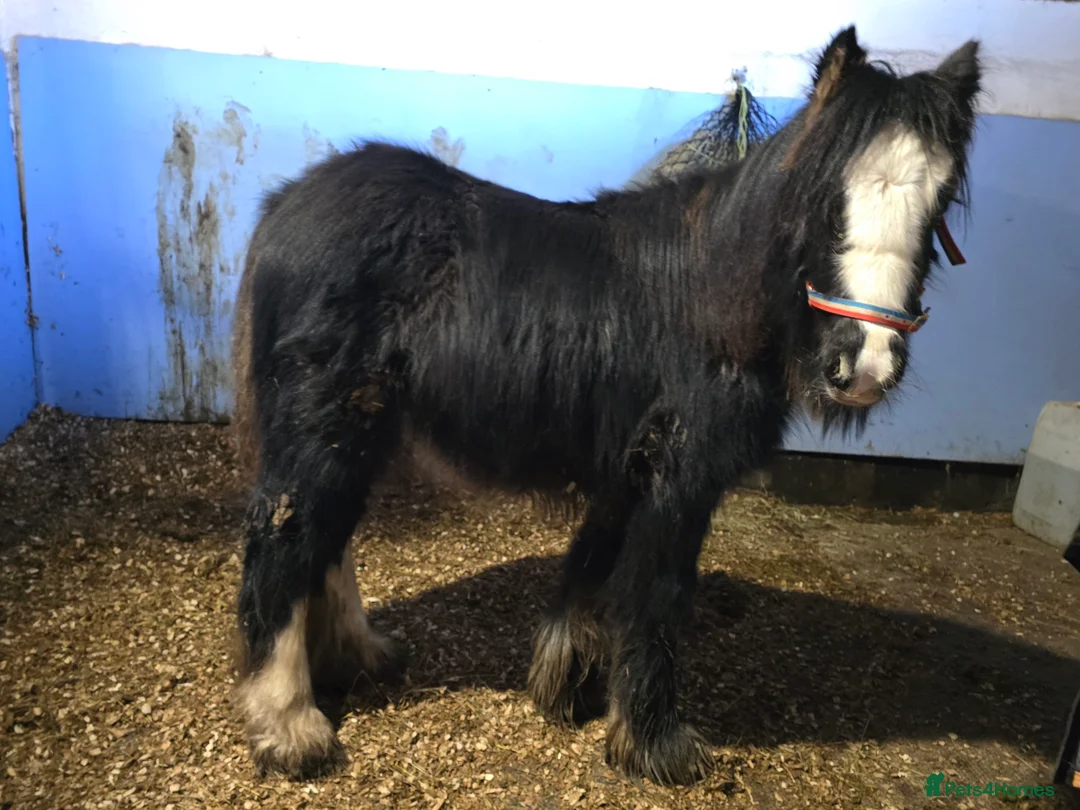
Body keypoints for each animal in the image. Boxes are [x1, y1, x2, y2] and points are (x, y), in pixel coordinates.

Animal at [228, 26, 983, 786]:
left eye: (941, 201)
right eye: (826, 198)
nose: (866, 365)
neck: (707, 300)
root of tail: (285, 206)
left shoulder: (629, 471)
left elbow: (592, 575)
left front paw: (569, 689)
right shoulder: (677, 479)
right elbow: (657, 595)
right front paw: (654, 744)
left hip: (360, 433)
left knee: (328, 539)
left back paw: (357, 660)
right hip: (324, 427)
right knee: (287, 539)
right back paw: (291, 728)